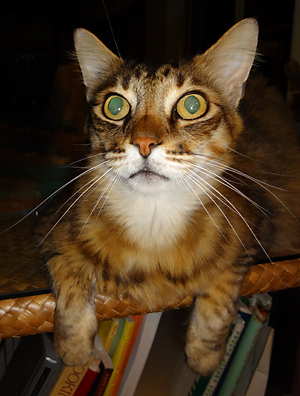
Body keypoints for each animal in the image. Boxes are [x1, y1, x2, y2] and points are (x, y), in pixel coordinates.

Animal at [38, 18, 300, 376]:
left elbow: (220, 295)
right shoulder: (56, 229)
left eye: (192, 106)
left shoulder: (254, 232)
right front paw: (74, 347)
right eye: (115, 106)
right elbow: (69, 277)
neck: (153, 220)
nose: (144, 143)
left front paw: (205, 356)